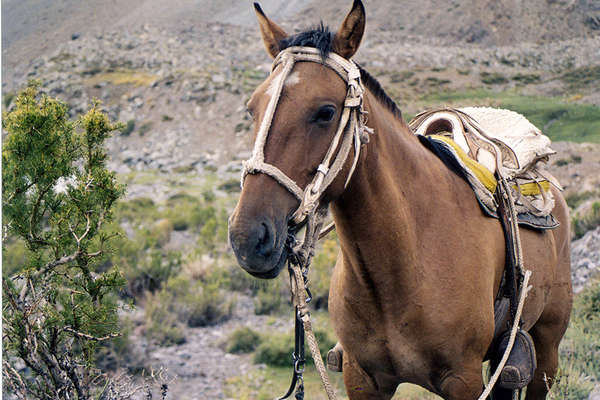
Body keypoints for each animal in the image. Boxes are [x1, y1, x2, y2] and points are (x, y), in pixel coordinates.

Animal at [227, 1, 576, 398]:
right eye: (252, 109)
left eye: (325, 112)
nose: (248, 238)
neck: (403, 262)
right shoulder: (362, 378)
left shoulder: (464, 379)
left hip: (546, 349)